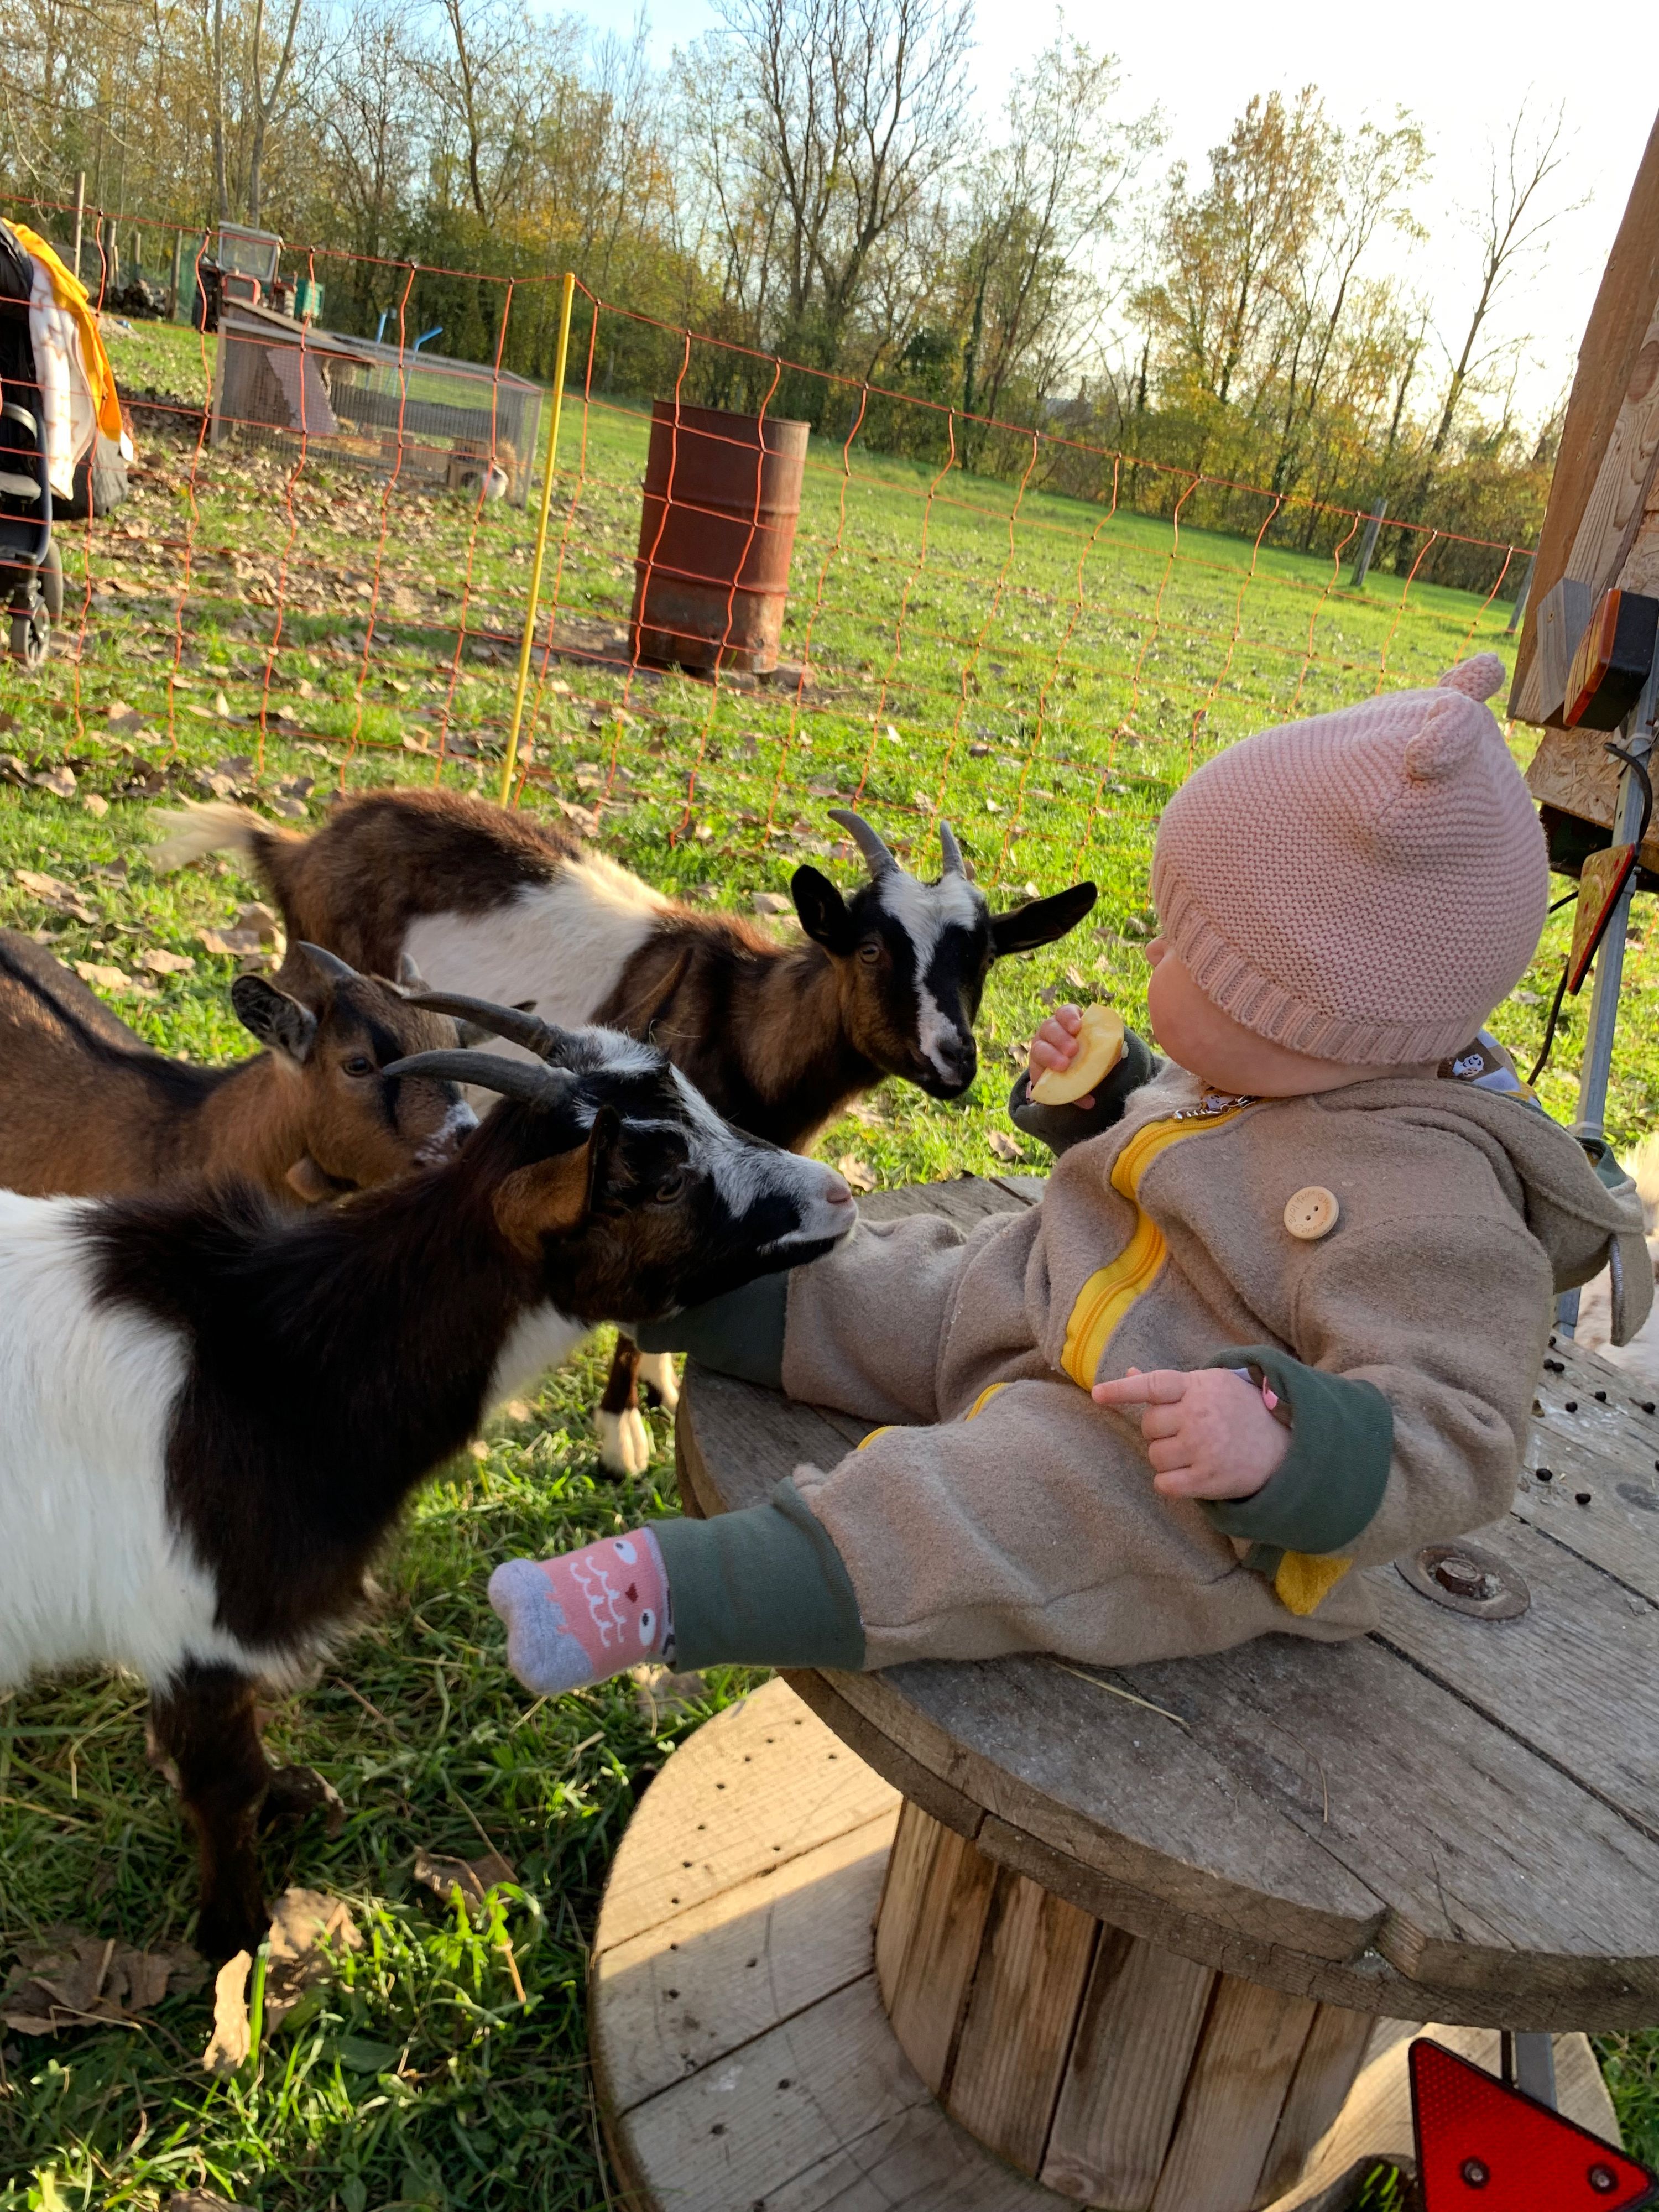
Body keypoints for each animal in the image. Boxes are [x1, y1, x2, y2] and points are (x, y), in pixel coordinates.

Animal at [0, 996, 854, 1957]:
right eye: (663, 1182)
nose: (837, 1194)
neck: (273, 1365)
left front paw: (295, 1798)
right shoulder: (198, 1629)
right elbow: (224, 1786)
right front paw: (235, 1938)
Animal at [150, 787, 1096, 1467]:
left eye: (984, 958)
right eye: (869, 950)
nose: (955, 1063)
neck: (744, 1021)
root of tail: (293, 847)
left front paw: (666, 1382)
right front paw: (620, 1437)